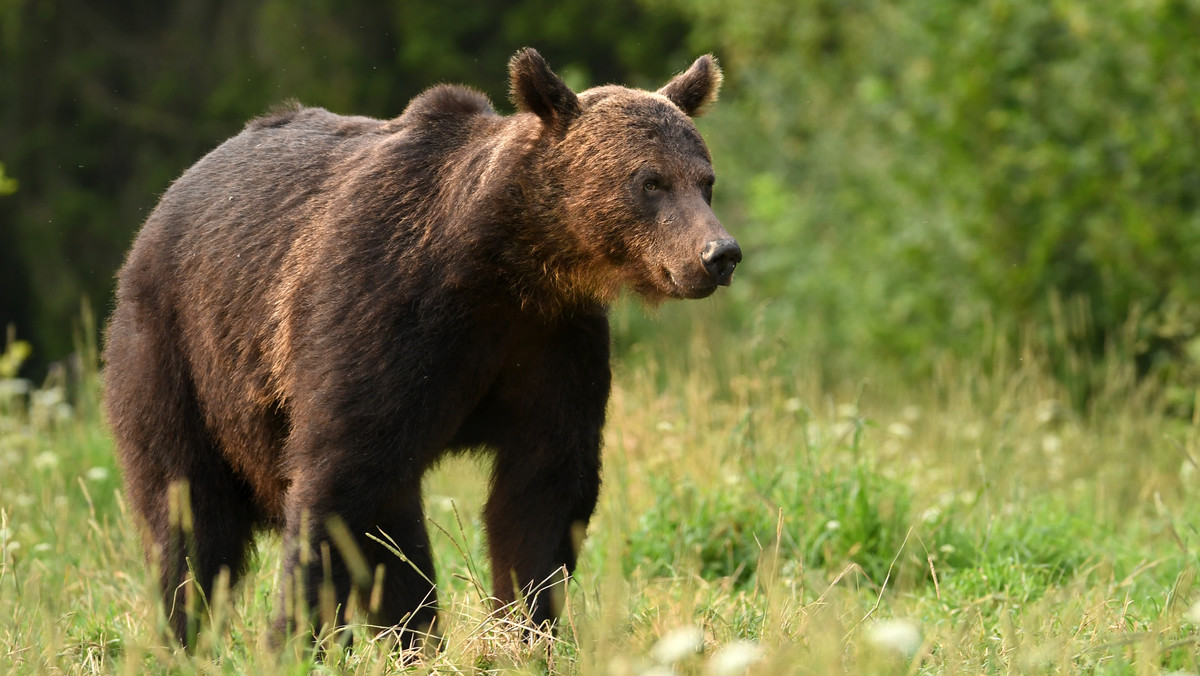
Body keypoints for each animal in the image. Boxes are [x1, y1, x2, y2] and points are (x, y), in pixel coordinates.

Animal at [105, 45, 739, 648]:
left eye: (705, 180)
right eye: (651, 181)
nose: (720, 253)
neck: (506, 264)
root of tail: (168, 199)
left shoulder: (551, 339)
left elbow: (542, 488)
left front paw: (529, 628)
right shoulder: (384, 312)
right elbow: (339, 482)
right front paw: (293, 637)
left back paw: (416, 638)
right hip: (176, 354)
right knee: (190, 513)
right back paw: (183, 633)